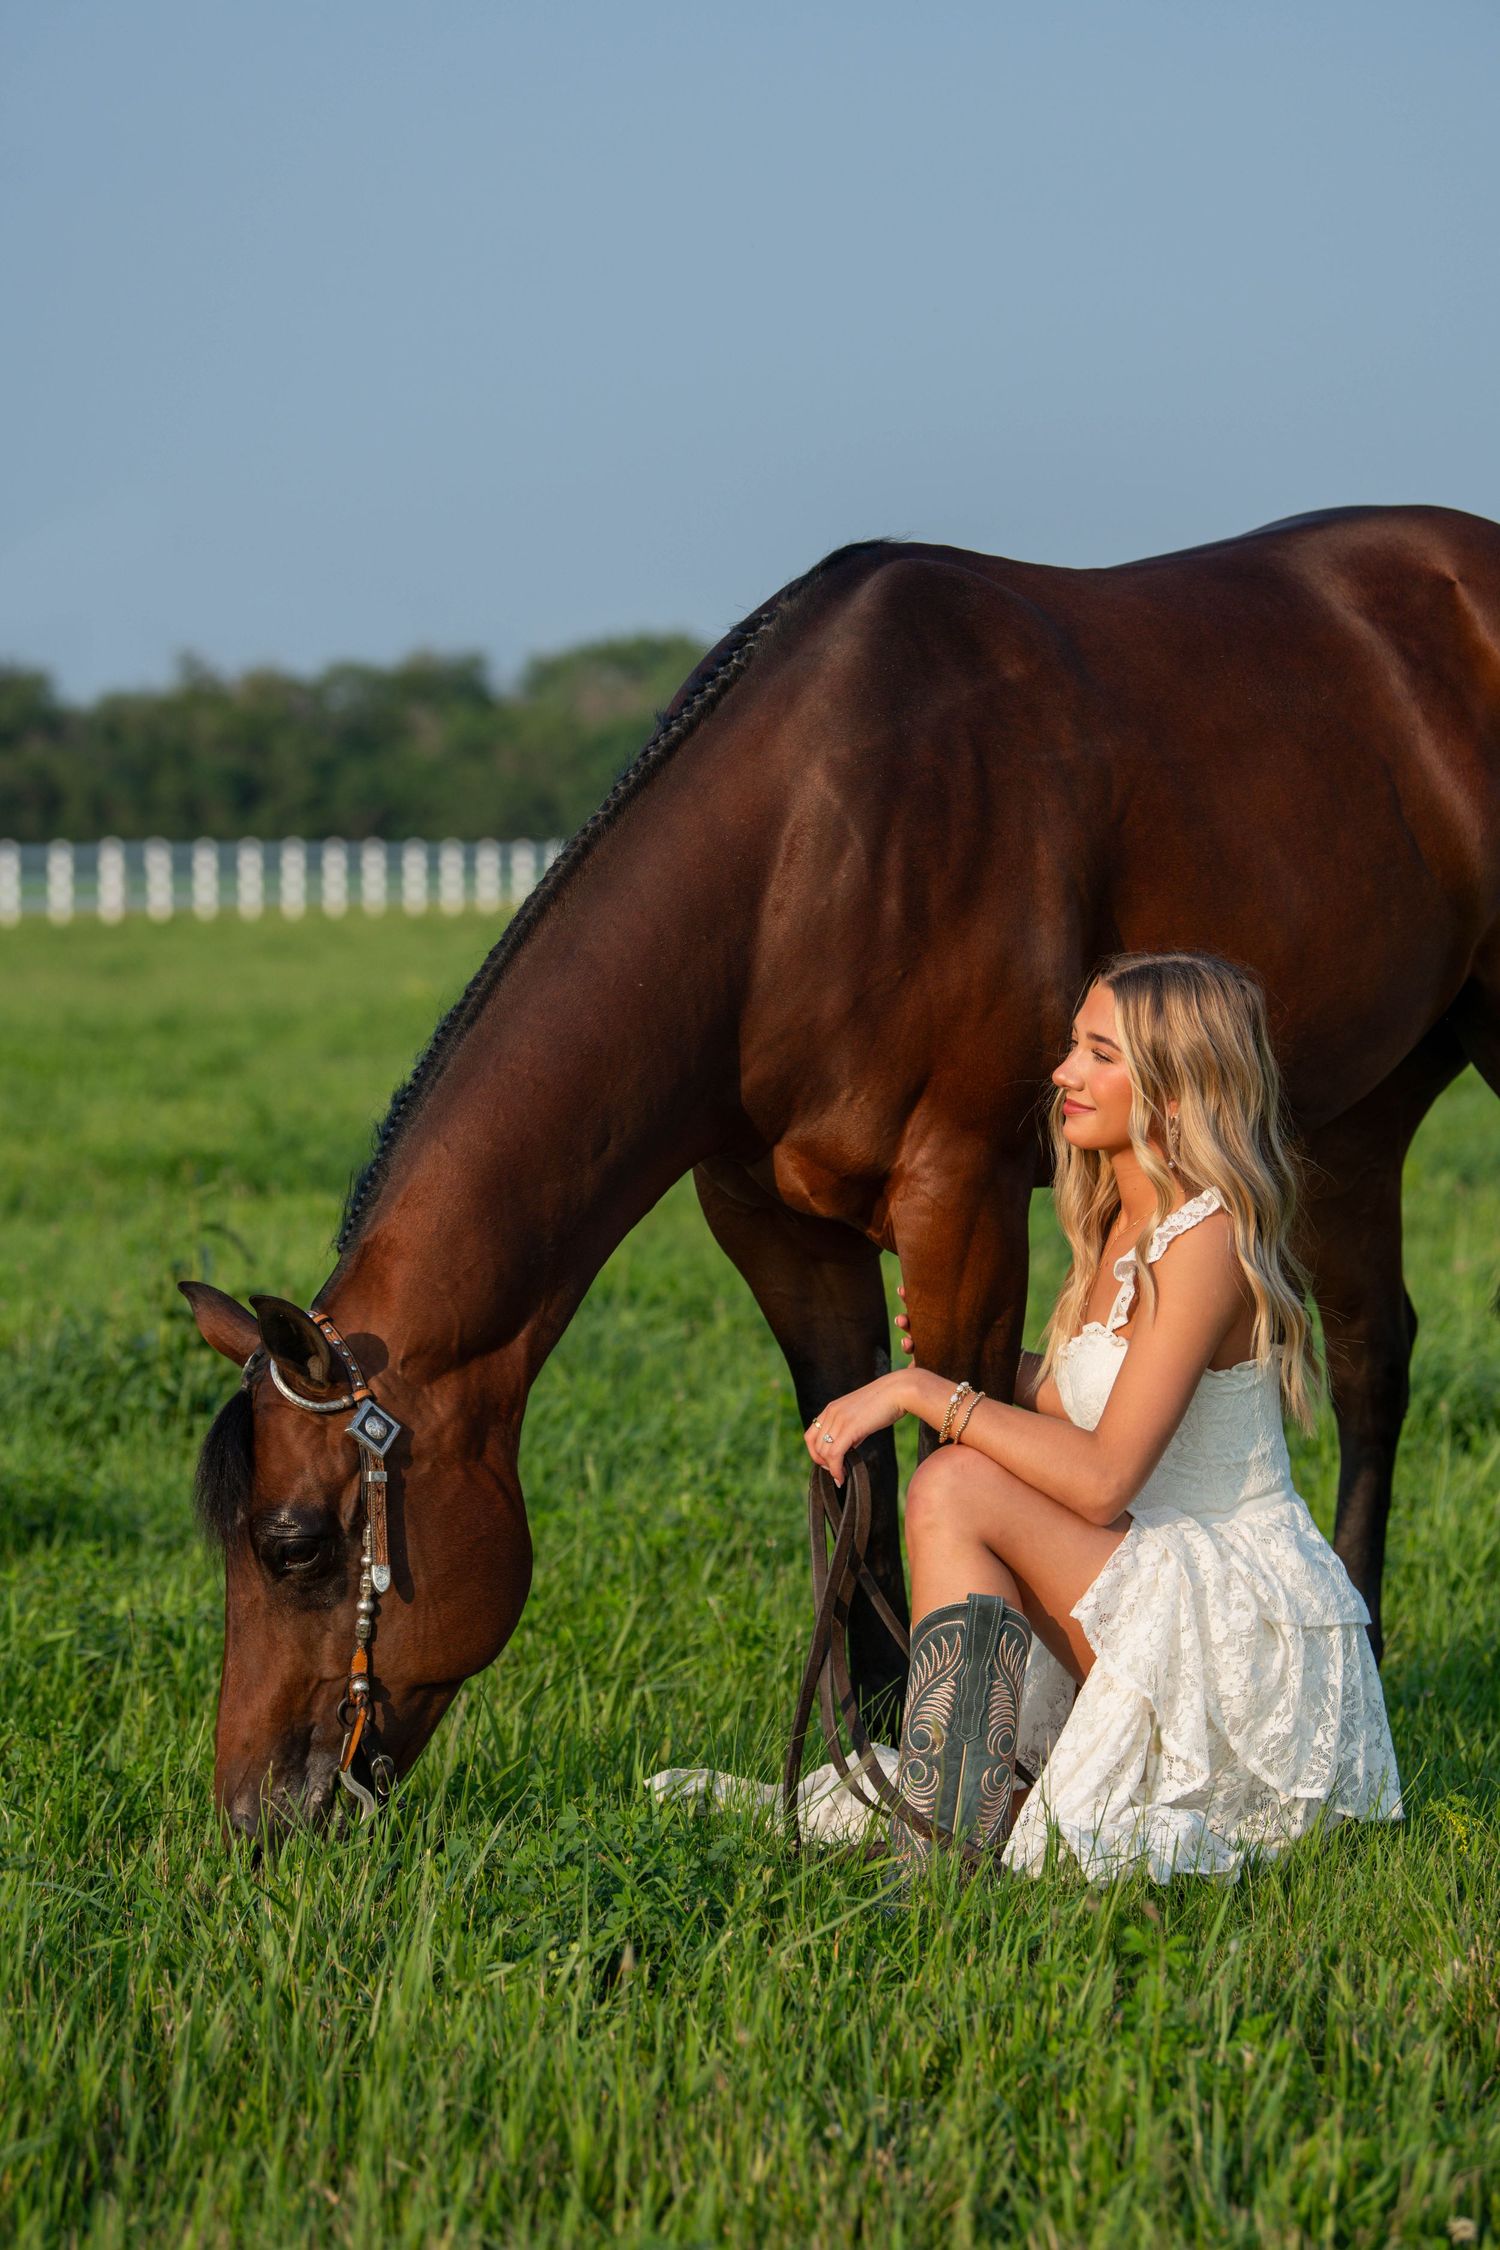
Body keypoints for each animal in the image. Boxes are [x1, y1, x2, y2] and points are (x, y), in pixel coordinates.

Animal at [183, 503, 1500, 1836]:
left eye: (295, 1545)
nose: (253, 1815)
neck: (805, 862)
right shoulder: (778, 1228)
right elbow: (852, 1471)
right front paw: (867, 1764)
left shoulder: (962, 1202)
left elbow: (949, 1449)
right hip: (1350, 1120)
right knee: (1372, 1356)